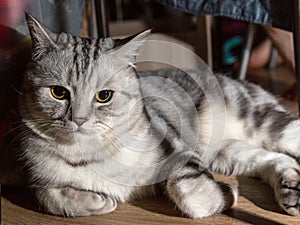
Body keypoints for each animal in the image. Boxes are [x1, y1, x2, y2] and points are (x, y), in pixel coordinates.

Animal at [14, 12, 300, 218]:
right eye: (58, 92)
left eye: (104, 95)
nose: (79, 119)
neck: (91, 154)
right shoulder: (39, 179)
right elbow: (49, 197)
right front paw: (99, 200)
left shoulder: (177, 148)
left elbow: (190, 193)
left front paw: (228, 193)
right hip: (229, 152)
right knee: (277, 159)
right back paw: (291, 190)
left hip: (266, 124)